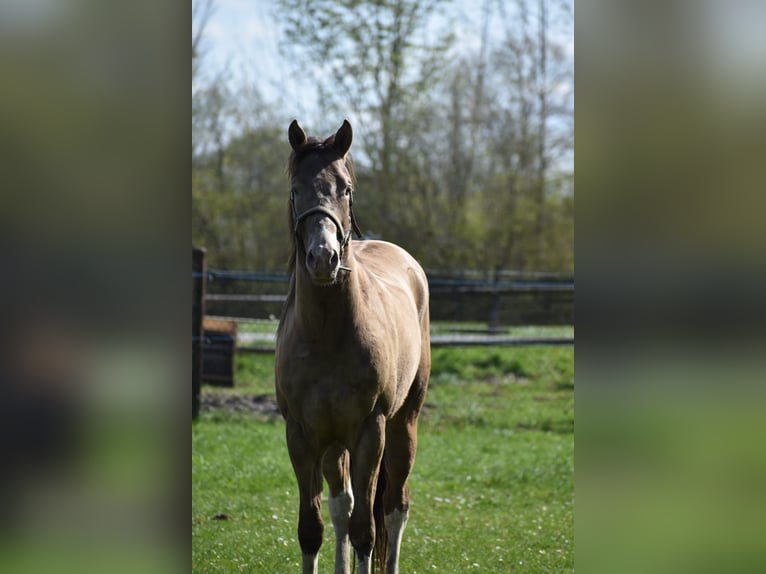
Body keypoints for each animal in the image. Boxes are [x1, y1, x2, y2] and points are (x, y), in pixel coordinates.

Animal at [275, 119, 431, 574]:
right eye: (295, 190)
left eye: (344, 188)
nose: (323, 257)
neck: (328, 334)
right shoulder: (301, 435)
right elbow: (312, 528)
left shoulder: (369, 432)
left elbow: (366, 529)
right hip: (334, 444)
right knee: (341, 505)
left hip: (403, 425)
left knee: (394, 507)